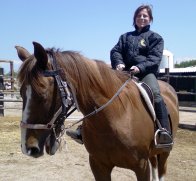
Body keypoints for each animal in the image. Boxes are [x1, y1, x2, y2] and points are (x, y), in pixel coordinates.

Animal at [16, 41, 179, 180]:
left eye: (42, 94)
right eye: (21, 93)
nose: (27, 148)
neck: (115, 118)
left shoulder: (141, 166)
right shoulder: (98, 165)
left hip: (165, 153)